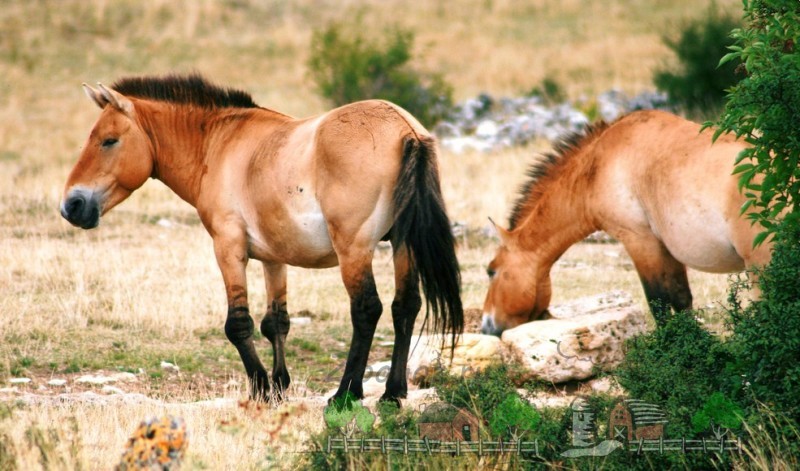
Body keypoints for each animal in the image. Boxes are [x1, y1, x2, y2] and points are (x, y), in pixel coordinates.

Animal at [61, 74, 462, 406]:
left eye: (109, 141)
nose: (71, 205)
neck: (218, 144)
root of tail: (405, 130)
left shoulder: (228, 248)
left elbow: (238, 324)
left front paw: (261, 389)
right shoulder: (274, 257)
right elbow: (276, 323)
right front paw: (281, 387)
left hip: (355, 249)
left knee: (367, 310)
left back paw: (346, 394)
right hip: (402, 245)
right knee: (404, 306)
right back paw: (393, 393)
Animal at [482, 110, 768, 336]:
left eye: (491, 271)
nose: (485, 327)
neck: (599, 165)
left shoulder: (639, 241)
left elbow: (659, 302)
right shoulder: (665, 249)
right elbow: (681, 300)